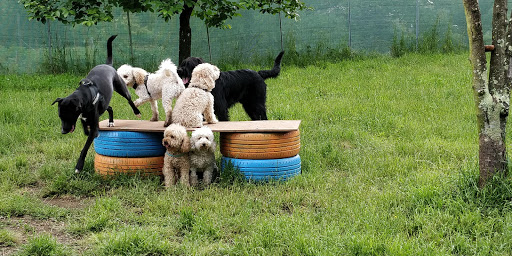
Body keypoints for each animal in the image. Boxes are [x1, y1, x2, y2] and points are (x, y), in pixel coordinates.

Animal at [52, 35, 140, 173]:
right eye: (60, 117)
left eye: (68, 116)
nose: (63, 131)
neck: (85, 95)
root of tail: (107, 64)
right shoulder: (86, 117)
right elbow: (85, 128)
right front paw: (86, 129)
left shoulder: (93, 125)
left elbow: (85, 146)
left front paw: (79, 166)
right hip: (105, 103)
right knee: (109, 107)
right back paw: (111, 121)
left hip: (121, 87)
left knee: (129, 99)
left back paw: (136, 111)